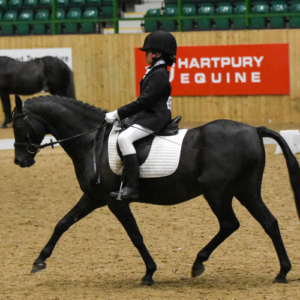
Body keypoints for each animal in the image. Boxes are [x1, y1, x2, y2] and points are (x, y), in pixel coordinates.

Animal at [11, 95, 300, 284]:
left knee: (230, 224)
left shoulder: (116, 201)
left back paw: (198, 263)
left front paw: (149, 272)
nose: (20, 161)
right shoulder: (93, 197)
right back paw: (282, 272)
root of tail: (255, 129)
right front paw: (39, 261)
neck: (90, 140)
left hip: (217, 193)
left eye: (16, 125)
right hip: (245, 190)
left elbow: (135, 235)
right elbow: (63, 223)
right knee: (269, 223)